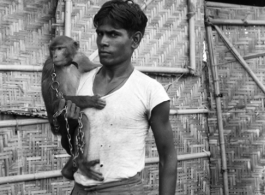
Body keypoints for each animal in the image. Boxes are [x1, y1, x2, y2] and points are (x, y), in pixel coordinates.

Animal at [40, 35, 104, 180]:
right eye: (53, 49)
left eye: (60, 48)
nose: (55, 55)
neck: (67, 63)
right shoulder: (49, 66)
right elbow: (56, 102)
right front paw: (90, 100)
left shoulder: (81, 58)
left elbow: (94, 66)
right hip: (57, 122)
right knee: (82, 119)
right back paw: (80, 164)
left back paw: (69, 168)